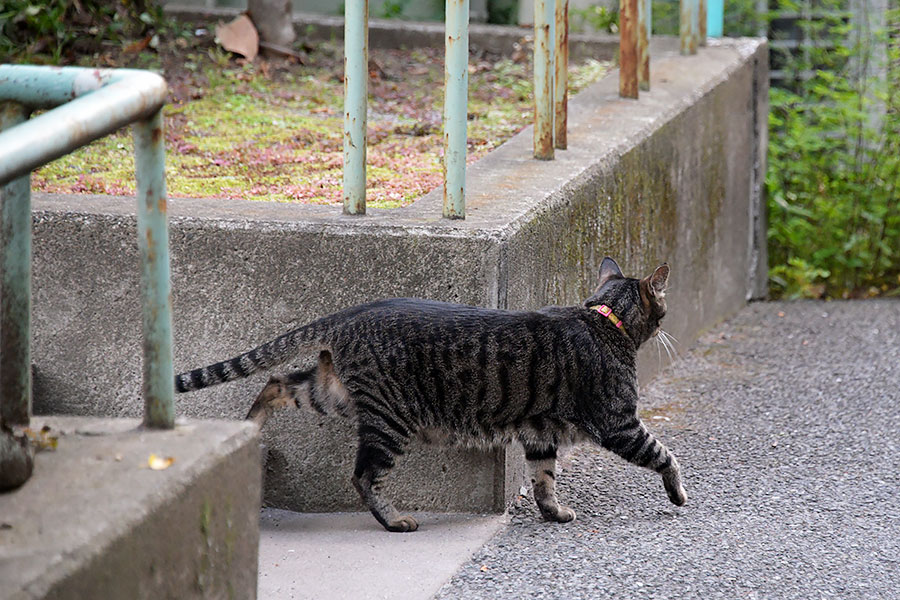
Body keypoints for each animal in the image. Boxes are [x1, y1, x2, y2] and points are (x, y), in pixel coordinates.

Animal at [178, 256, 688, 528]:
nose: (668, 320)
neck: (605, 319)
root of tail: (352, 313)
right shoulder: (620, 423)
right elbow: (665, 454)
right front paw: (679, 494)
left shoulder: (540, 434)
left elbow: (544, 479)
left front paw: (553, 513)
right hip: (389, 420)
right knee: (363, 477)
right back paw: (394, 520)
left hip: (332, 392)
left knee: (276, 382)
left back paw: (250, 424)